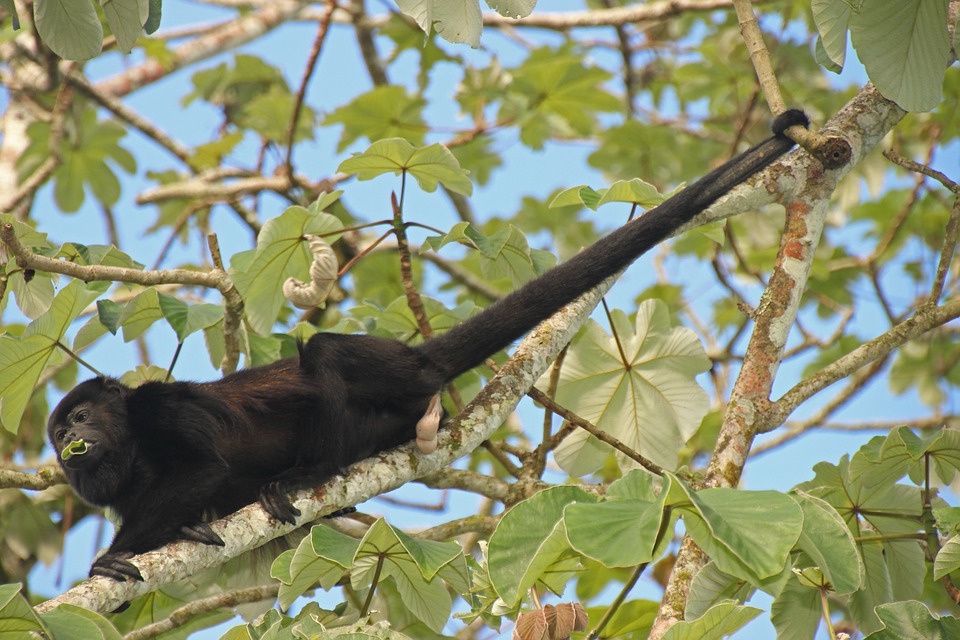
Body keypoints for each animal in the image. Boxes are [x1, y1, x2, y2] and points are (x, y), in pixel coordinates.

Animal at [47, 111, 808, 584]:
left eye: (81, 418)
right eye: (58, 434)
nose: (67, 445)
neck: (131, 443)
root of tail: (422, 360)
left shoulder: (159, 407)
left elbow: (203, 465)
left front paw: (112, 557)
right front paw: (183, 531)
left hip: (394, 368)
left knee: (323, 353)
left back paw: (303, 474)